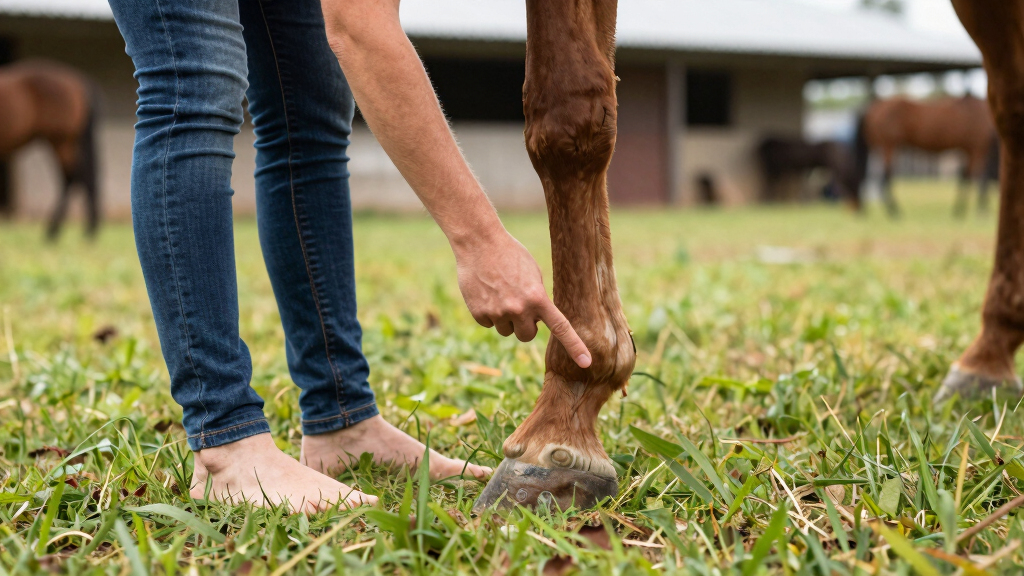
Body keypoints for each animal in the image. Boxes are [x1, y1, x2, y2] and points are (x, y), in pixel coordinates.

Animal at [0, 59, 100, 240]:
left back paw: (54, 230)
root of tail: (78, 81)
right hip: (69, 141)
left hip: (61, 140)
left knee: (71, 178)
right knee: (81, 178)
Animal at [855, 95, 997, 218]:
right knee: (885, 178)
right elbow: (980, 178)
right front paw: (981, 210)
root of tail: (875, 105)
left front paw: (959, 210)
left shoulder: (969, 150)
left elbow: (965, 177)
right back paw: (895, 211)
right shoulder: (978, 148)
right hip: (888, 147)